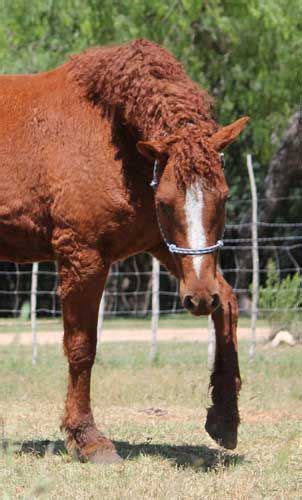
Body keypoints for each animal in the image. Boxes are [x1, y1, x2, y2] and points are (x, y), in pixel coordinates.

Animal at [0, 40, 248, 464]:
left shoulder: (166, 247)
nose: (199, 298)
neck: (111, 133)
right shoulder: (83, 256)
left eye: (225, 197)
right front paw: (87, 438)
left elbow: (228, 302)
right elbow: (82, 347)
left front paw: (224, 417)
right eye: (165, 202)